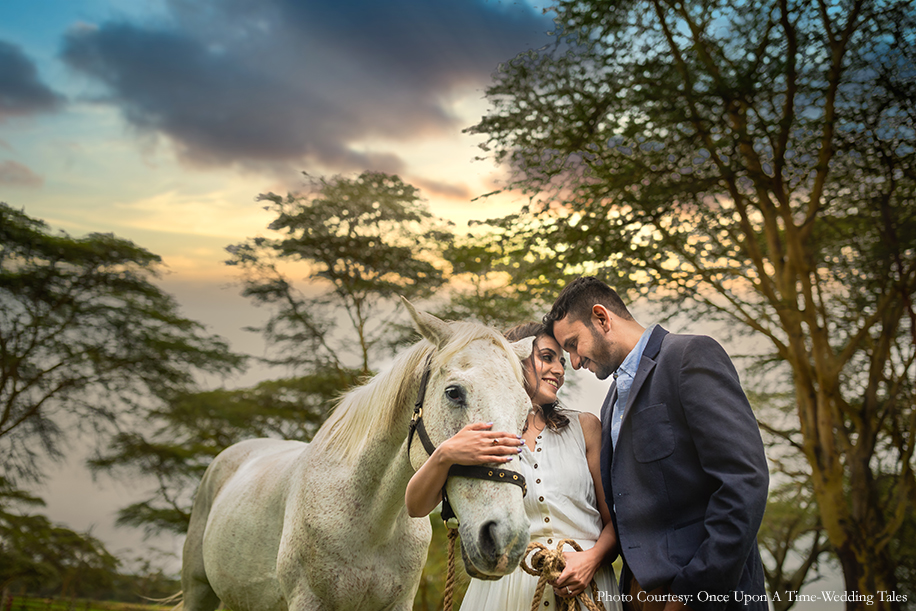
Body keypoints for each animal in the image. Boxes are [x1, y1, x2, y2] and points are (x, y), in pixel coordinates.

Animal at [180, 304, 532, 611]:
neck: (373, 521)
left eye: (526, 410)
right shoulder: (309, 601)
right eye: (454, 393)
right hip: (198, 591)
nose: (506, 537)